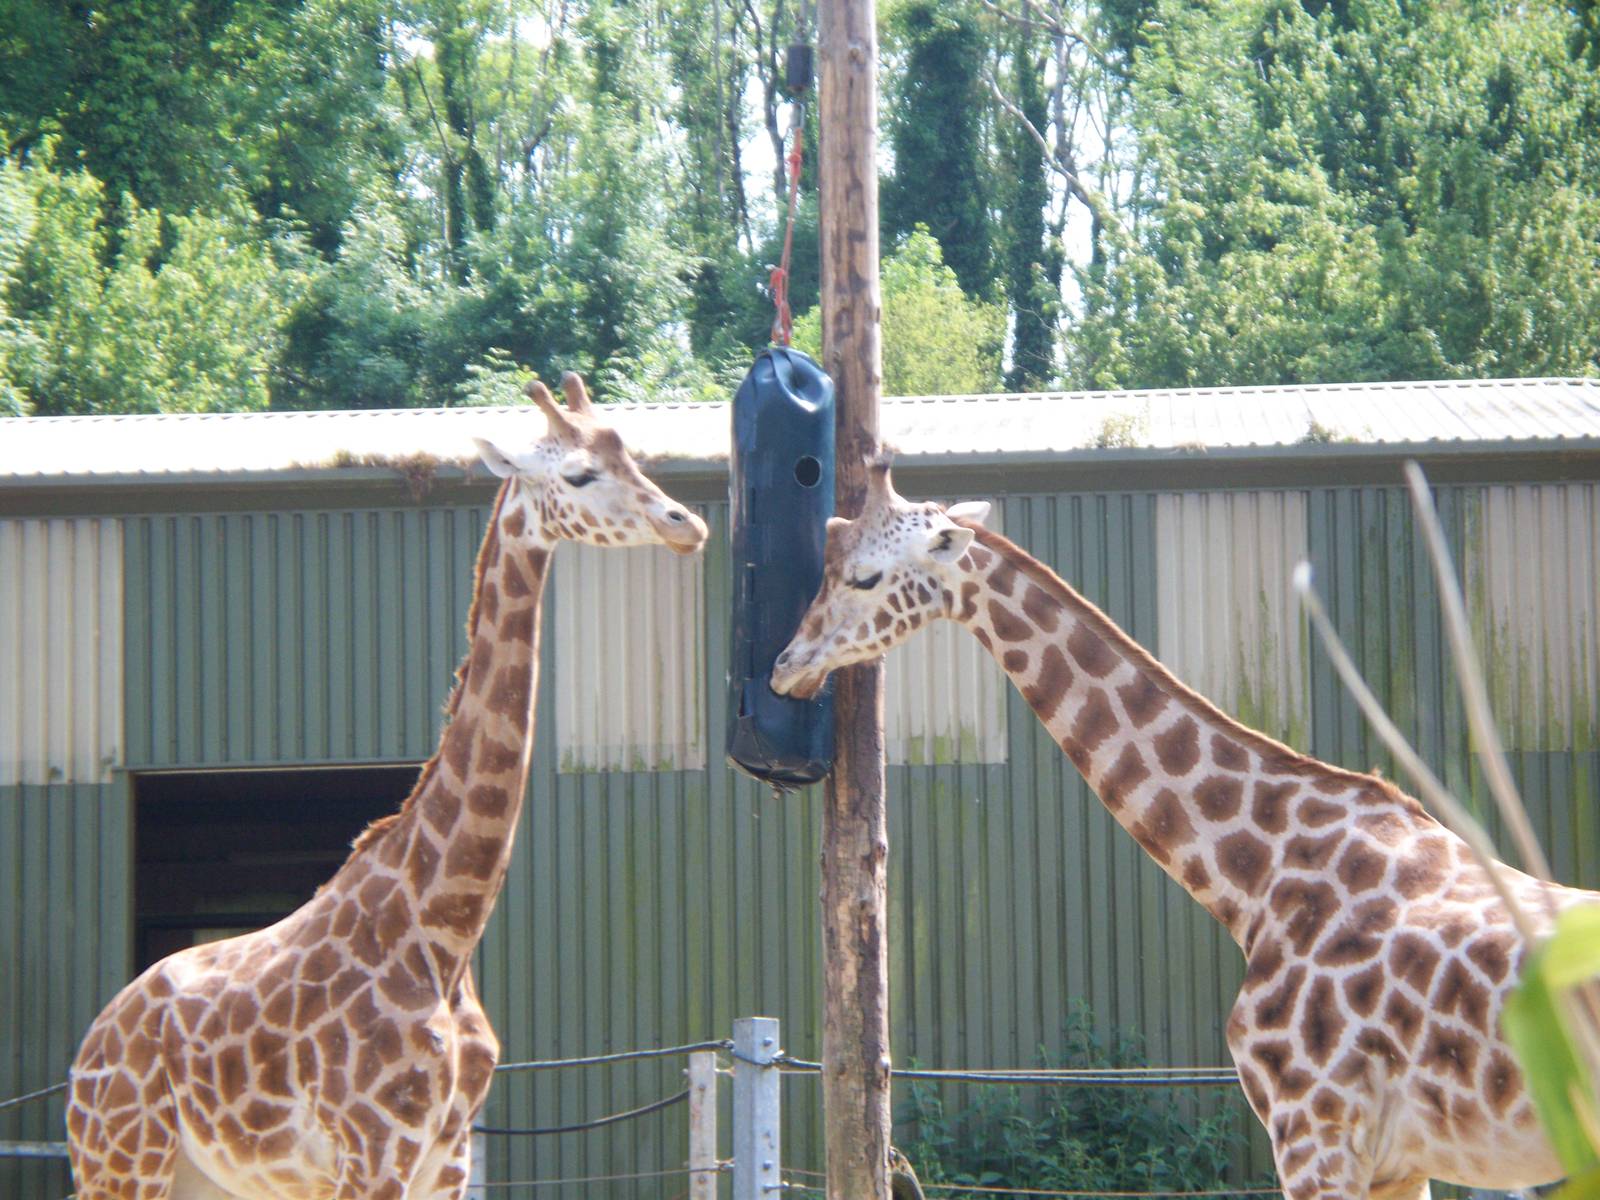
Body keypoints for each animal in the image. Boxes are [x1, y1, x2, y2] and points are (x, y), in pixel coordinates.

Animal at [65, 374, 708, 1200]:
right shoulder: (376, 1150)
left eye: (636, 459)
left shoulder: (447, 1157)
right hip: (121, 1160)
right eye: (578, 475)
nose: (686, 523)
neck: (445, 929)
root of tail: (91, 1043)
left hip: (205, 1177)